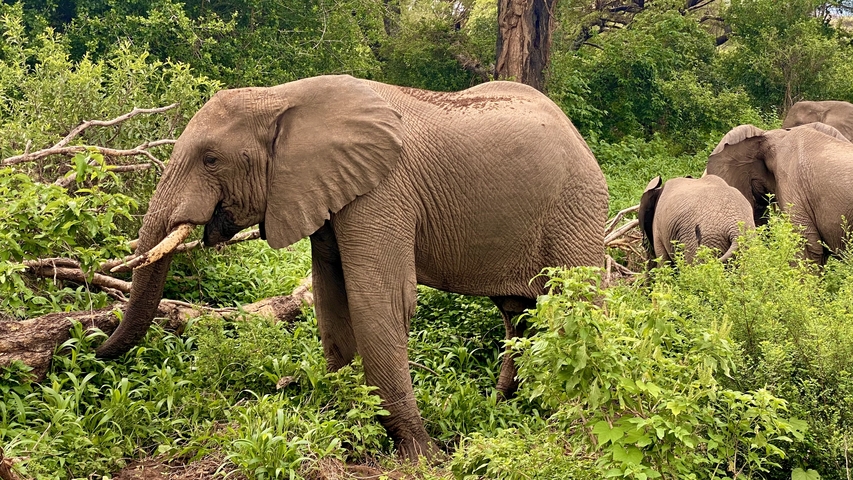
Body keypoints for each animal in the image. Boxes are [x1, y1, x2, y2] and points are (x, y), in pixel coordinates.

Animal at [95, 75, 609, 460]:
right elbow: (331, 298)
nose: (91, 347)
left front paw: (422, 457)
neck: (284, 97)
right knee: (519, 315)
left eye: (211, 159)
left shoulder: (383, 188)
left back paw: (579, 423)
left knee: (574, 308)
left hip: (576, 208)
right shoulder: (324, 189)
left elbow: (377, 300)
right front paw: (342, 423)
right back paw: (502, 409)